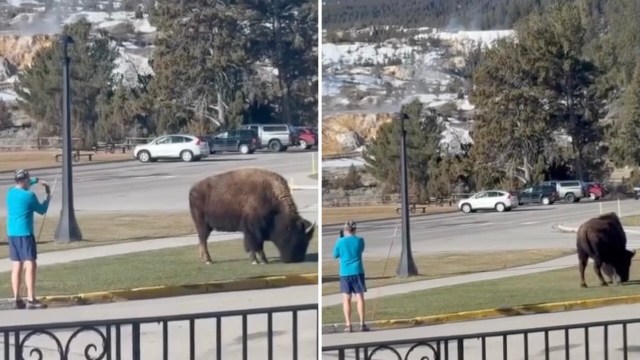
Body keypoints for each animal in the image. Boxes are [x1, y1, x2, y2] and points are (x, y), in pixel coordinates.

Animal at [186, 168, 316, 264]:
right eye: (298, 238)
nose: (298, 259)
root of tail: (192, 190)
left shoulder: (255, 231)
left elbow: (257, 245)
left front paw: (261, 260)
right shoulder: (253, 230)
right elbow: (255, 244)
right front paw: (258, 261)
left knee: (201, 240)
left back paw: (204, 259)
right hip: (203, 225)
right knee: (203, 240)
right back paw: (208, 260)